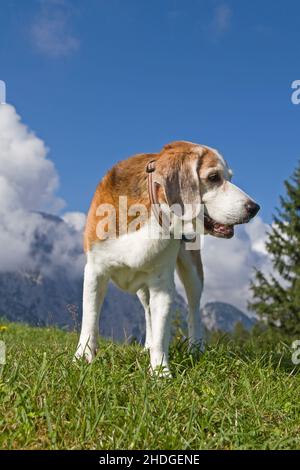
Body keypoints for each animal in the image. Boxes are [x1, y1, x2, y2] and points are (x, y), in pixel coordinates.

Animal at [74, 141, 258, 376]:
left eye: (229, 177)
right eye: (214, 177)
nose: (254, 208)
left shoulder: (162, 285)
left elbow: (162, 330)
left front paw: (160, 372)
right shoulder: (95, 272)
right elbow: (90, 318)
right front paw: (83, 357)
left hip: (192, 272)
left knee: (193, 309)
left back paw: (196, 347)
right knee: (147, 312)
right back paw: (147, 346)